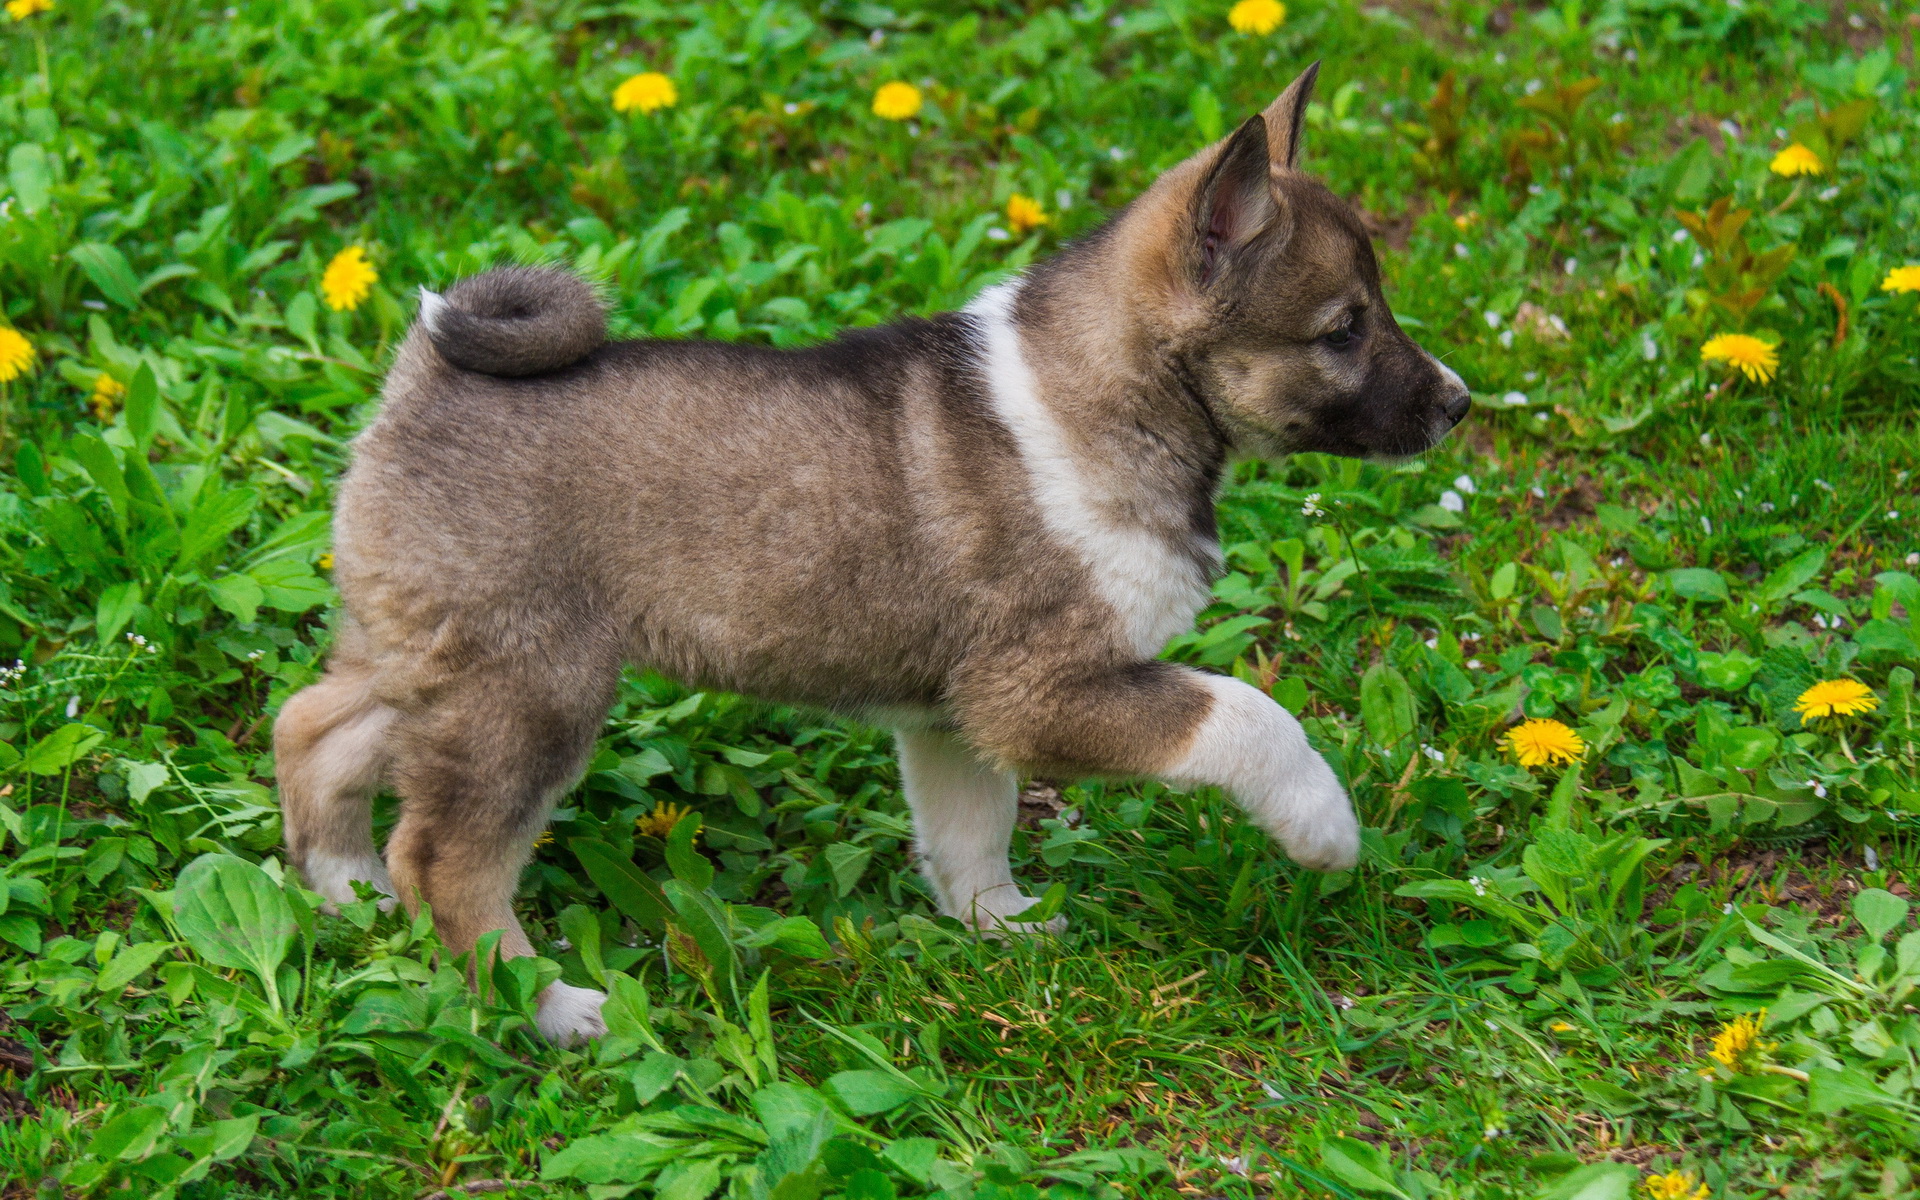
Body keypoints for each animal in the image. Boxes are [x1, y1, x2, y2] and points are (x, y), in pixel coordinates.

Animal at [270, 65, 1466, 1036]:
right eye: (1344, 329)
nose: (1459, 405)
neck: (1122, 398)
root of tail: (428, 373)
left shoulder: (954, 717)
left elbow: (969, 834)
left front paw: (1003, 931)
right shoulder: (1040, 691)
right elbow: (1249, 715)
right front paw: (1325, 826)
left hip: (425, 653)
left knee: (314, 730)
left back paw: (342, 890)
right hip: (531, 692)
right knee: (444, 858)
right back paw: (552, 1007)